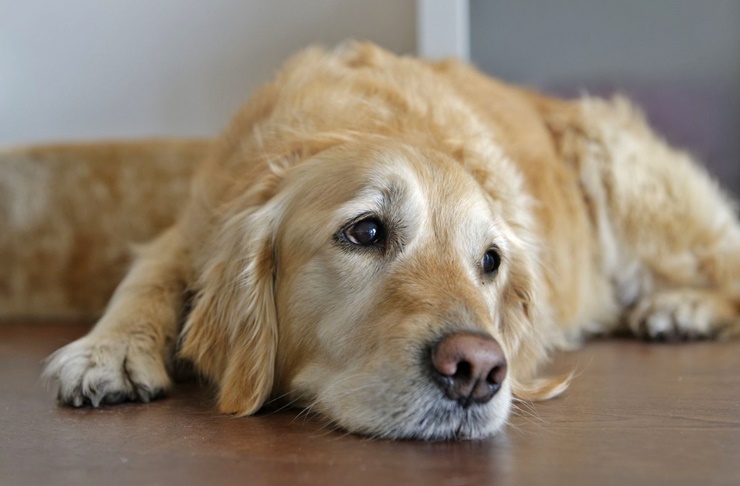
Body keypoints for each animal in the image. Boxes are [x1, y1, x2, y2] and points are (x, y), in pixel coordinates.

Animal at [30, 42, 740, 440]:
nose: (477, 371)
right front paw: (110, 350)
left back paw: (679, 308)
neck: (350, 124)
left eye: (490, 261)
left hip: (624, 174)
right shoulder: (191, 230)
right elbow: (146, 274)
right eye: (366, 230)